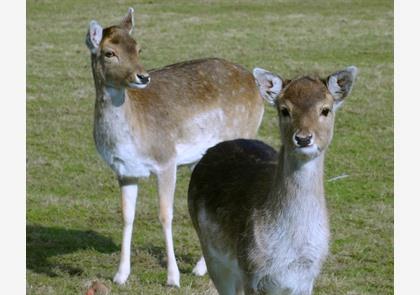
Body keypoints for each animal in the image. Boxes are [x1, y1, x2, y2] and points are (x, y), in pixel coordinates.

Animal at [83, 8, 264, 288]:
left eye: (138, 48)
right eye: (109, 53)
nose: (142, 76)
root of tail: (258, 86)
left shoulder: (166, 159)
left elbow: (165, 215)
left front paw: (172, 277)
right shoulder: (124, 170)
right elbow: (127, 215)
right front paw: (120, 275)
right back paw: (203, 267)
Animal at [189, 66, 358, 294]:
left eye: (325, 109)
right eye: (284, 109)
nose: (303, 138)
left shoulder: (307, 279)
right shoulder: (251, 271)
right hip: (214, 256)